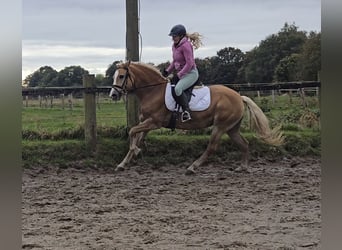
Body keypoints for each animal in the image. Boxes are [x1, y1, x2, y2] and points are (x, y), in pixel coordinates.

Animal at [109, 61, 284, 174]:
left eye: (122, 76)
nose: (113, 95)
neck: (153, 91)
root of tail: (239, 97)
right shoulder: (146, 122)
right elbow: (137, 136)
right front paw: (123, 163)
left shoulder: (154, 122)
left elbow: (132, 131)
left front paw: (135, 151)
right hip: (232, 128)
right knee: (244, 144)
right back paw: (243, 167)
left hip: (220, 126)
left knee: (212, 147)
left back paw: (192, 167)